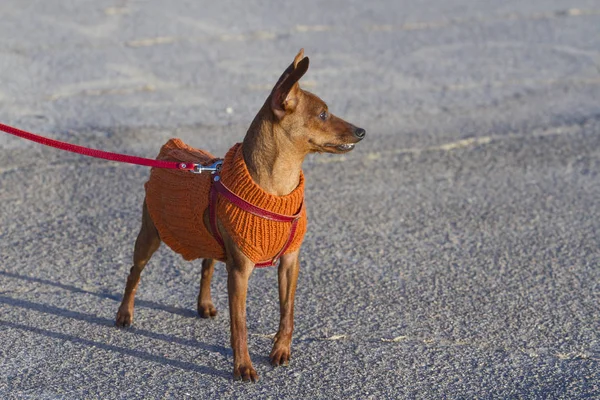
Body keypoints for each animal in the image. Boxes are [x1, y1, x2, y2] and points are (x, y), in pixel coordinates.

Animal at [115, 50, 364, 382]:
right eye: (323, 114)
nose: (362, 131)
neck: (276, 189)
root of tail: (170, 149)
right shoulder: (240, 271)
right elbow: (240, 324)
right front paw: (243, 366)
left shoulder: (290, 262)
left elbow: (287, 312)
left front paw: (280, 350)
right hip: (150, 235)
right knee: (135, 272)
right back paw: (124, 313)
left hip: (205, 238)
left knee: (206, 266)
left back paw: (204, 304)